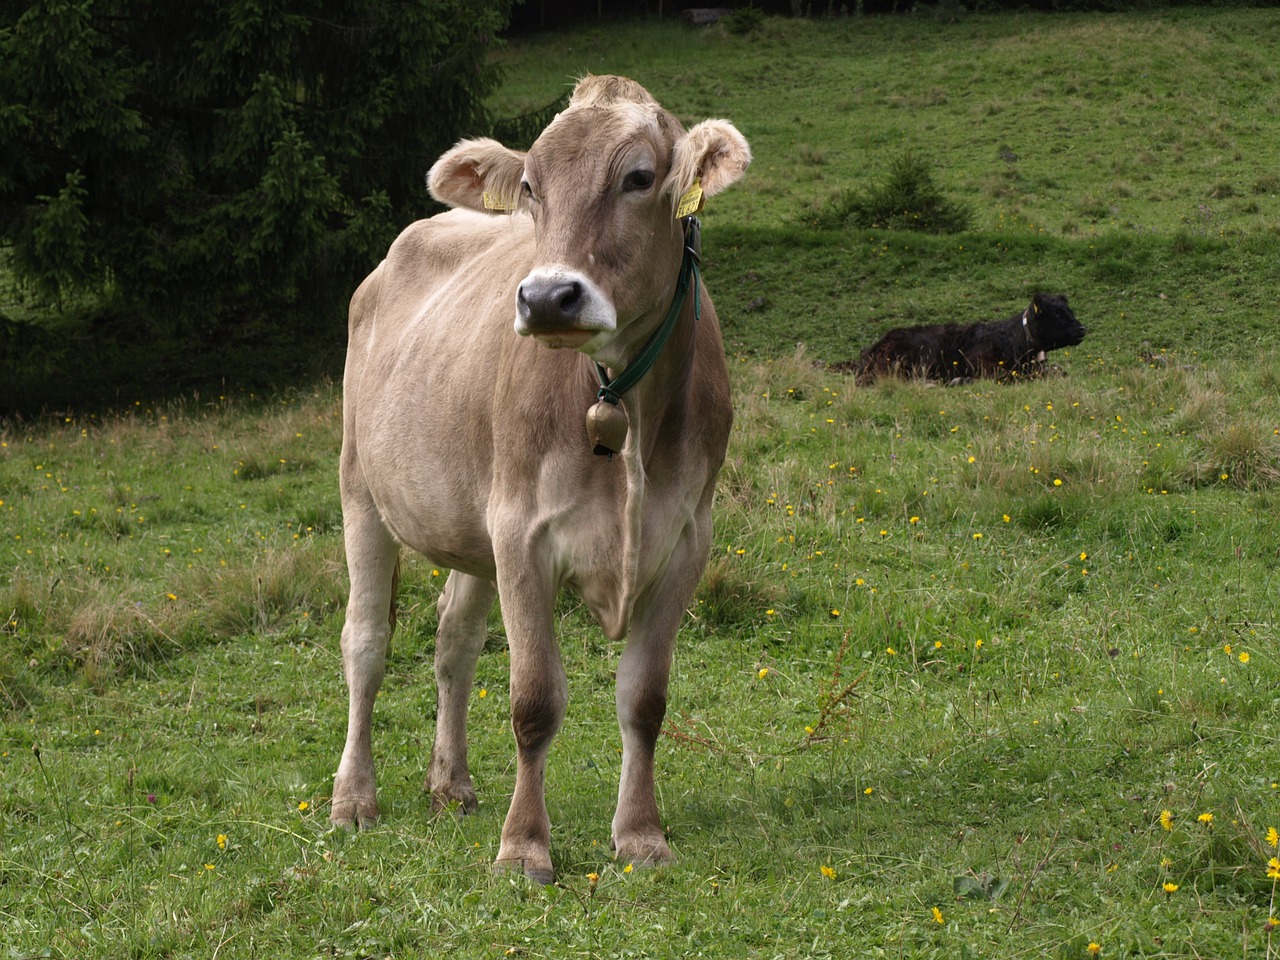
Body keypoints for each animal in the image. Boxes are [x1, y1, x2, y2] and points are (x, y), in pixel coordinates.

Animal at [327, 75, 747, 885]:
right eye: (530, 186)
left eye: (638, 177)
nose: (548, 298)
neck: (620, 405)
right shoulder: (522, 534)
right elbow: (534, 701)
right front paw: (524, 847)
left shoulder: (686, 539)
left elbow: (645, 699)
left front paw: (640, 835)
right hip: (361, 487)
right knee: (365, 642)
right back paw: (353, 798)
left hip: (470, 522)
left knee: (454, 640)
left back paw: (450, 783)